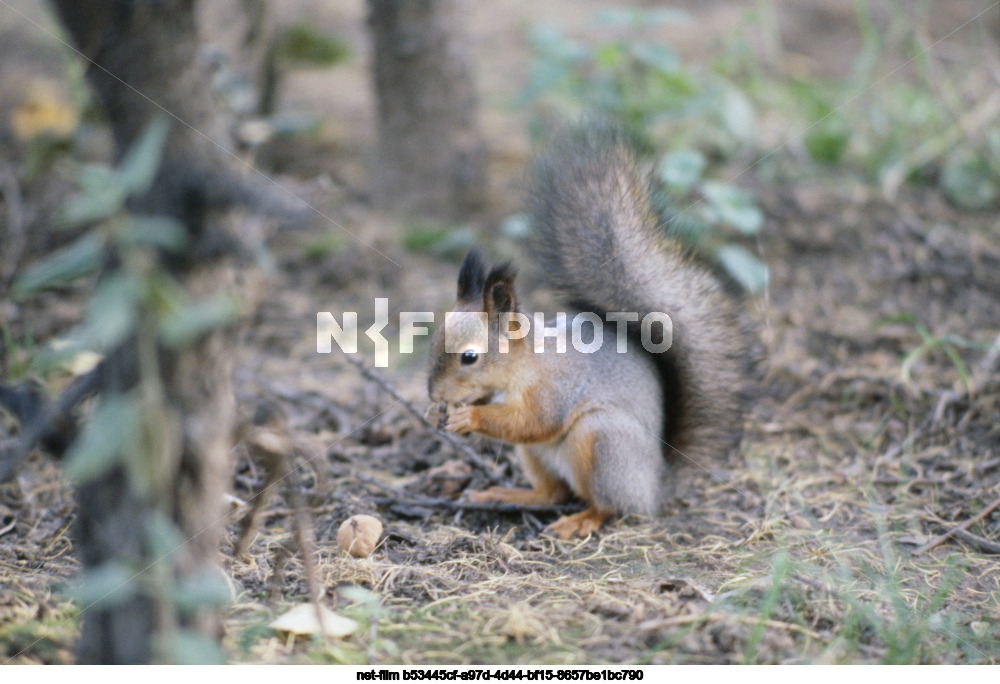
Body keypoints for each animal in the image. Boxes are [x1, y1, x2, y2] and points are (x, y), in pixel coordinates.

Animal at [424, 125, 756, 536]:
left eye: (469, 357)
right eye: (432, 342)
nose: (434, 393)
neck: (526, 363)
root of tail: (654, 485)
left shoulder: (556, 389)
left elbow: (533, 421)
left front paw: (469, 417)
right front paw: (437, 412)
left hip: (599, 441)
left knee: (608, 504)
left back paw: (581, 521)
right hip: (536, 456)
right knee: (552, 493)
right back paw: (502, 495)